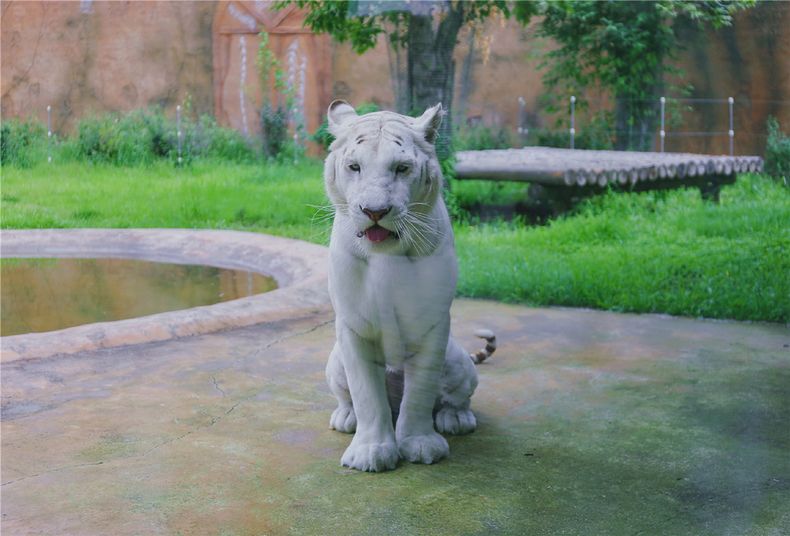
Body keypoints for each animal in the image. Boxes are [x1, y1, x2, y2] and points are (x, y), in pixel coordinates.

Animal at [322, 98, 496, 472]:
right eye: (355, 167)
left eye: (401, 168)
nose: (374, 211)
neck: (387, 256)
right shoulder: (353, 326)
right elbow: (367, 395)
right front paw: (371, 451)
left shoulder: (432, 324)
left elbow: (419, 393)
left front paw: (420, 444)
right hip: (335, 361)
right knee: (351, 399)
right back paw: (346, 418)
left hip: (458, 361)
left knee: (454, 398)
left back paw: (456, 420)